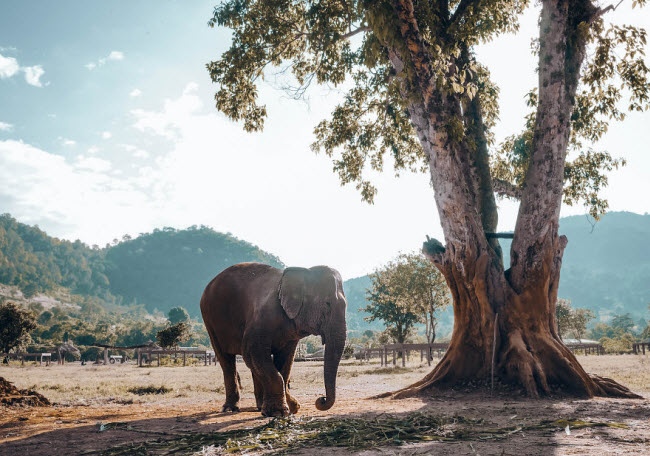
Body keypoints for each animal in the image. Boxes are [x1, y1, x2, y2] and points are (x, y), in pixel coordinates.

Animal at [200, 264, 346, 416]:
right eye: (327, 304)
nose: (321, 399)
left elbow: (285, 360)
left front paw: (292, 407)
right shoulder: (261, 320)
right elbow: (252, 352)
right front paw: (280, 412)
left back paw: (259, 406)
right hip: (210, 321)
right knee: (226, 360)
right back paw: (231, 408)